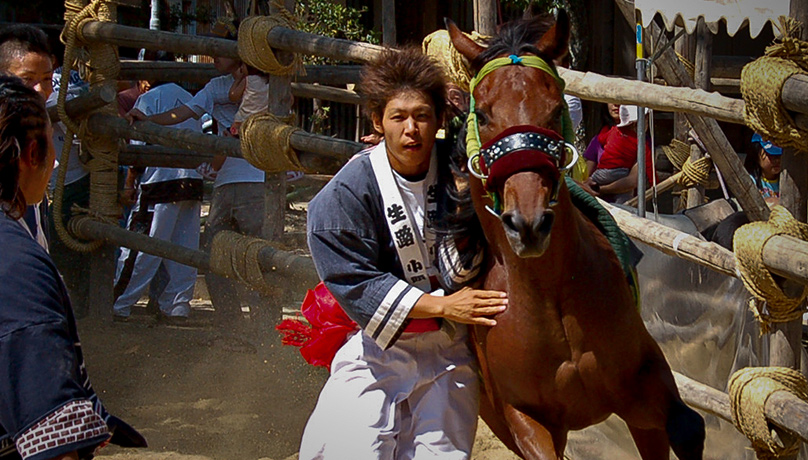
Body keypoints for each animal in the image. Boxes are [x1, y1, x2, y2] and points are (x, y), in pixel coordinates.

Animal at [446, 10, 704, 460]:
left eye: (553, 111)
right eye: (484, 114)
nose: (528, 223)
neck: (549, 296)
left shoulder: (643, 384)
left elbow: (687, 427)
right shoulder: (524, 419)